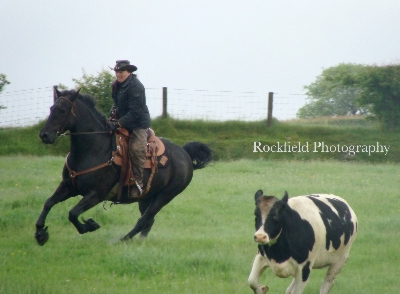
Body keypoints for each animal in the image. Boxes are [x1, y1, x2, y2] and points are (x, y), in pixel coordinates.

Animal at [36, 89, 212, 246]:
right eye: (51, 108)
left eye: (63, 110)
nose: (44, 135)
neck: (94, 149)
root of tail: (185, 153)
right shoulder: (68, 186)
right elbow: (48, 203)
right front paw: (40, 233)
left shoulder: (95, 194)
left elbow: (72, 213)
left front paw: (90, 225)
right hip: (146, 197)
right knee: (148, 221)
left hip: (164, 197)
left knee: (144, 220)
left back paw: (122, 240)